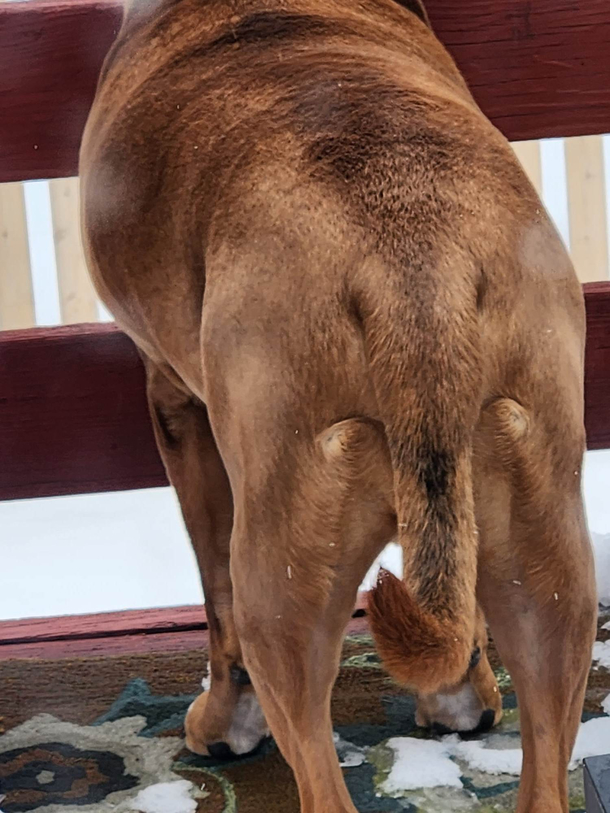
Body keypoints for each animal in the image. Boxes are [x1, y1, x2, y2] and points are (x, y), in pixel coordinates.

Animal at [79, 0, 592, 808]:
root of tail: (414, 267)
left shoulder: (176, 402)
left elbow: (213, 591)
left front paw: (225, 721)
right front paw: (460, 696)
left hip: (282, 570)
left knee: (308, 747)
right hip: (551, 550)